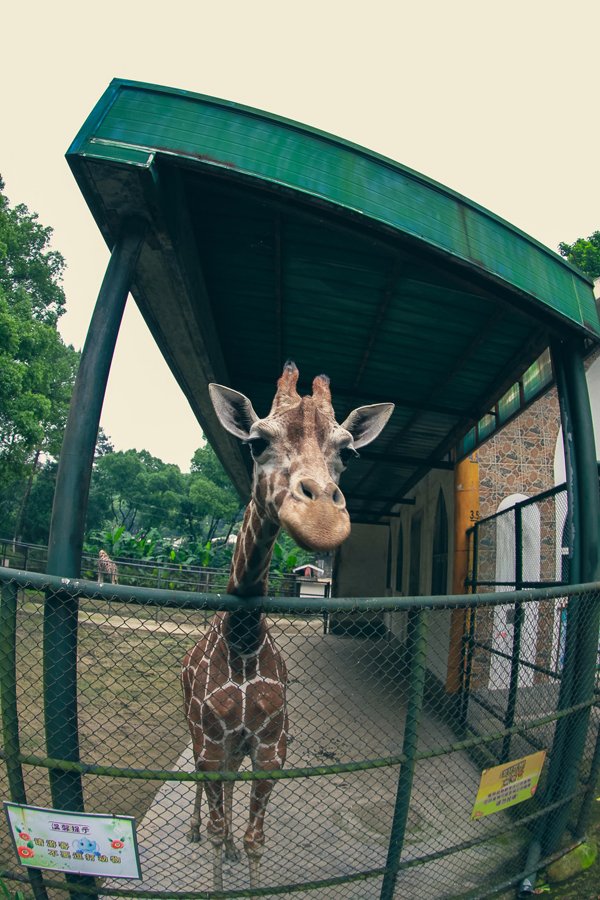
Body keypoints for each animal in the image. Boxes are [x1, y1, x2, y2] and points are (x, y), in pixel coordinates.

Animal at [179, 362, 394, 888]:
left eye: (348, 453)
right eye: (256, 442)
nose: (320, 519)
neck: (243, 638)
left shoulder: (269, 748)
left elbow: (256, 839)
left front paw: (240, 851)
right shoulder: (212, 742)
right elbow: (216, 826)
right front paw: (212, 845)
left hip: (236, 748)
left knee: (230, 786)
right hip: (196, 734)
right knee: (201, 782)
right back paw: (192, 828)